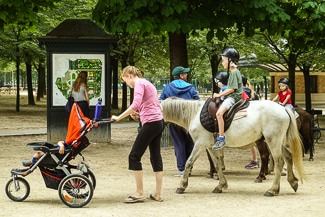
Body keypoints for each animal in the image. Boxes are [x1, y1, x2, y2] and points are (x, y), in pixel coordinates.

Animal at [161, 97, 306, 196]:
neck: (195, 114)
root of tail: (283, 108)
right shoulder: (210, 146)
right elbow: (217, 164)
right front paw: (221, 185)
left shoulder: (200, 144)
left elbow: (189, 162)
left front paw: (182, 186)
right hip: (277, 142)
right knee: (288, 157)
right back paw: (293, 182)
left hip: (272, 141)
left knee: (279, 161)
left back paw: (272, 189)